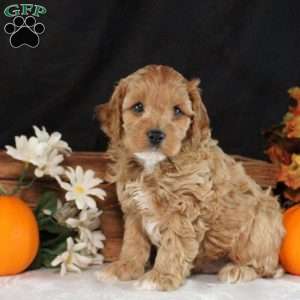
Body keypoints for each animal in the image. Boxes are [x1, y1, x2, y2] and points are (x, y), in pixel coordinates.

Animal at [95, 63, 284, 290]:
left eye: (177, 110)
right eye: (138, 107)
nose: (156, 134)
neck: (154, 165)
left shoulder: (185, 207)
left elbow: (173, 243)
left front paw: (160, 277)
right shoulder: (134, 208)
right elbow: (133, 242)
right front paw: (125, 268)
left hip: (259, 228)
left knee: (265, 268)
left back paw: (237, 270)